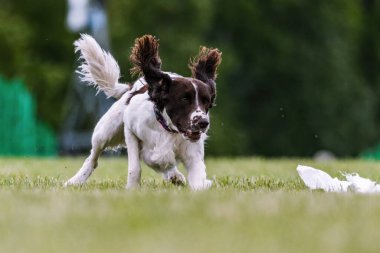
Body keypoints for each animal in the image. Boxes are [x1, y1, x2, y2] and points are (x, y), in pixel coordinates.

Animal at [63, 35, 221, 190]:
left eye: (207, 101)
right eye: (184, 99)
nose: (203, 123)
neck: (167, 130)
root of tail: (131, 87)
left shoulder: (193, 155)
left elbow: (198, 181)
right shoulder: (130, 130)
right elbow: (135, 167)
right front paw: (132, 188)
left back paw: (174, 176)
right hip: (104, 132)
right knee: (93, 158)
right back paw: (75, 181)